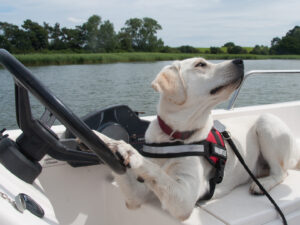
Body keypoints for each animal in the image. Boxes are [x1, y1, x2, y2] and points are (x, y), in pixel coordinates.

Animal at [91, 57, 300, 220]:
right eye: (201, 64)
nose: (240, 61)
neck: (173, 138)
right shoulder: (136, 196)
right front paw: (103, 140)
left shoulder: (184, 198)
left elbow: (155, 170)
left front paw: (130, 151)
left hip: (267, 122)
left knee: (281, 173)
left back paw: (262, 185)